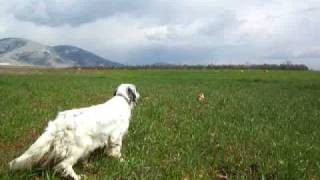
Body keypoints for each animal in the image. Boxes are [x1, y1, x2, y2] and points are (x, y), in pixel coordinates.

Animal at [9, 83, 139, 179]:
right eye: (135, 89)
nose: (139, 94)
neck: (121, 99)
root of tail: (59, 122)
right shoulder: (116, 136)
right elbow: (116, 151)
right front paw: (122, 161)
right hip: (79, 147)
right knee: (63, 165)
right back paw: (77, 176)